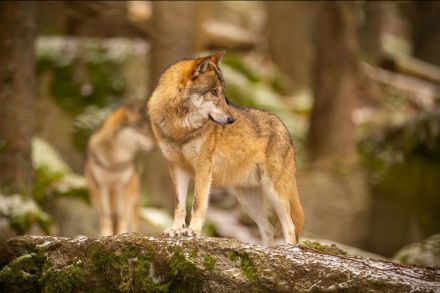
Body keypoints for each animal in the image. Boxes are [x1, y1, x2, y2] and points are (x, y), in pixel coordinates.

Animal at [84, 102, 155, 235]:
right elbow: (105, 215)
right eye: (142, 130)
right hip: (95, 197)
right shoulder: (102, 186)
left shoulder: (122, 187)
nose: (154, 146)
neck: (115, 162)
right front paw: (106, 235)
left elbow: (122, 215)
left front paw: (122, 233)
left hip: (133, 202)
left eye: (148, 130)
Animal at [147, 50, 302, 244]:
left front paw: (192, 231)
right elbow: (179, 205)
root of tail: (285, 129)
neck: (180, 128)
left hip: (274, 192)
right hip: (247, 199)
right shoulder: (177, 168)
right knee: (268, 228)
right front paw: (175, 230)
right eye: (213, 92)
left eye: (222, 93)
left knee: (290, 227)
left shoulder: (203, 168)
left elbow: (197, 203)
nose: (232, 119)